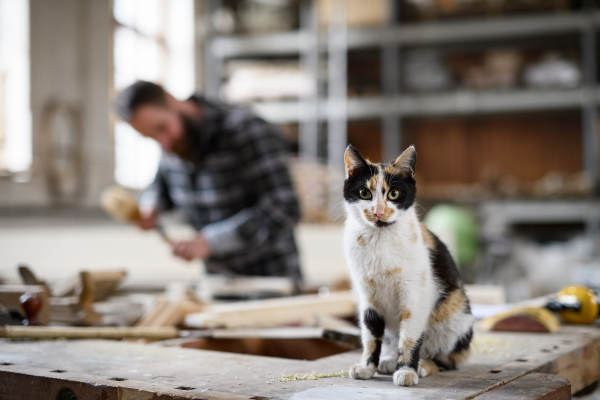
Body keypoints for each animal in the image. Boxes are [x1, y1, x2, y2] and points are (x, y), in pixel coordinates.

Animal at [342, 145, 474, 386]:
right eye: (365, 193)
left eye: (393, 194)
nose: (378, 212)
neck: (380, 238)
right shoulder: (367, 297)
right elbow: (371, 336)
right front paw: (367, 368)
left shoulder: (415, 295)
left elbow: (410, 336)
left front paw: (406, 371)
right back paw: (387, 361)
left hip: (456, 314)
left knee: (449, 359)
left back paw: (423, 364)